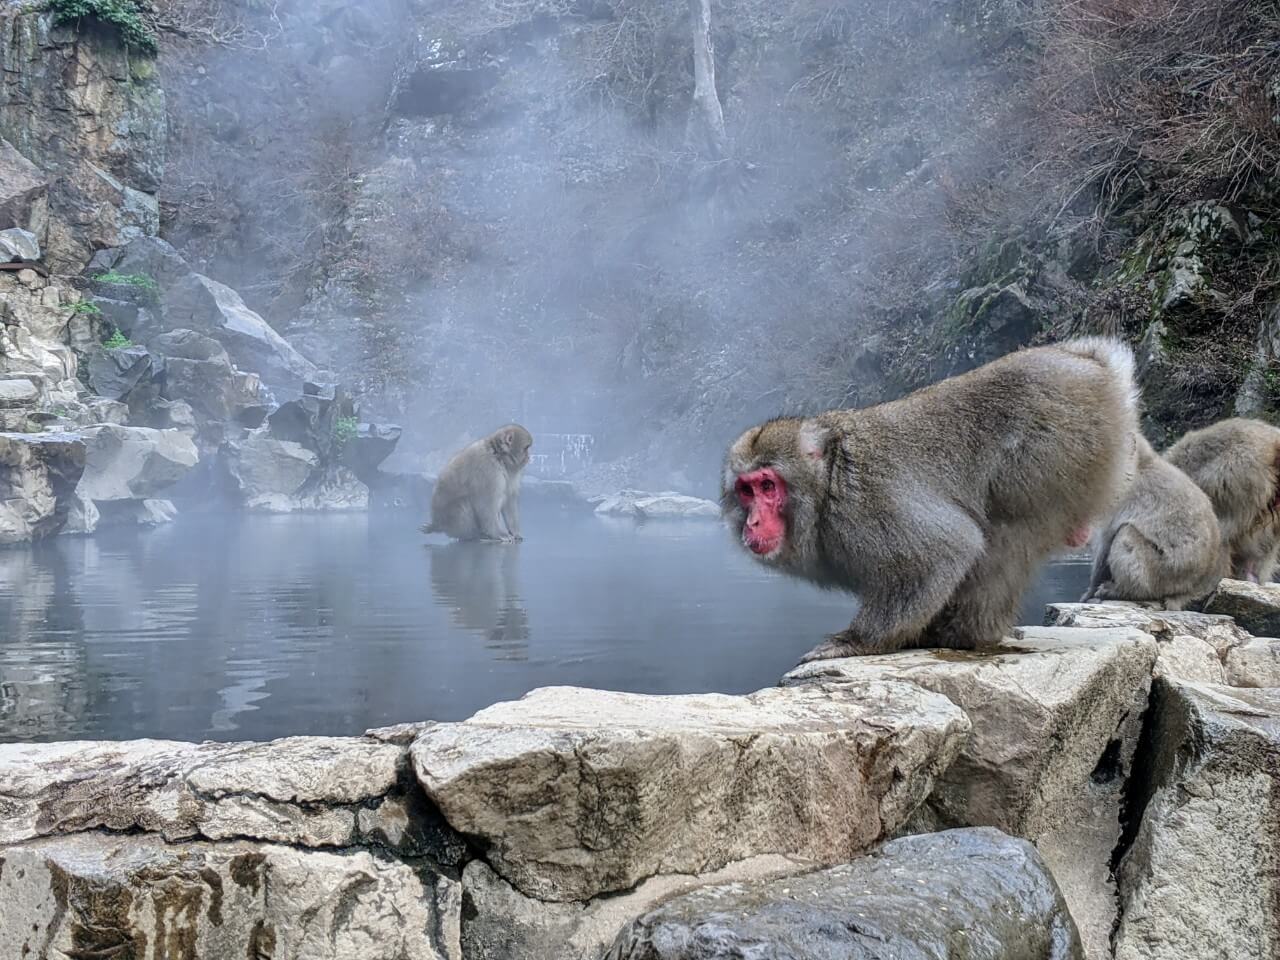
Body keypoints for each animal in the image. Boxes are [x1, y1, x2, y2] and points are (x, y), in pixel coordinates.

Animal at [721, 337, 1141, 660]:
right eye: (746, 490)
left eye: (768, 487)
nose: (753, 521)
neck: (828, 483)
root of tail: (1093, 365)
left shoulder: (867, 505)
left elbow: (945, 549)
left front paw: (858, 641)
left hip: (1059, 445)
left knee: (1006, 532)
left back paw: (966, 634)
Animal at [1080, 435, 1228, 609]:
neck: (1140, 465)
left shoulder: (1117, 497)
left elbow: (1105, 544)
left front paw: (1090, 591)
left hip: (1161, 576)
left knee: (1127, 533)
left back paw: (1124, 591)